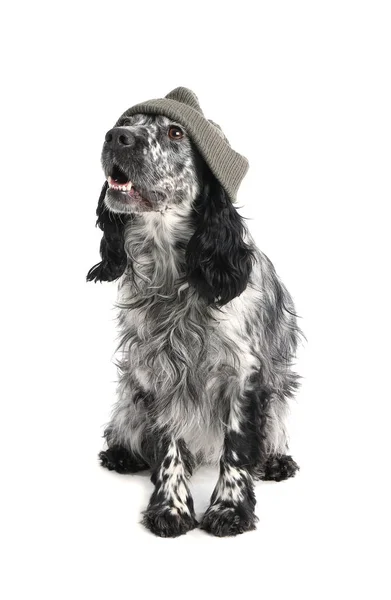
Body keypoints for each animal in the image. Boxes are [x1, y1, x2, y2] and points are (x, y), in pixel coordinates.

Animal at [89, 99, 304, 540]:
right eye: (126, 123)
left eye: (175, 133)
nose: (117, 137)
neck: (175, 276)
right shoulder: (158, 370)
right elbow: (168, 442)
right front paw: (170, 507)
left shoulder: (244, 374)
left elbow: (236, 451)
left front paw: (229, 509)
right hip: (131, 392)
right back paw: (123, 453)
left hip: (278, 391)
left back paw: (276, 459)